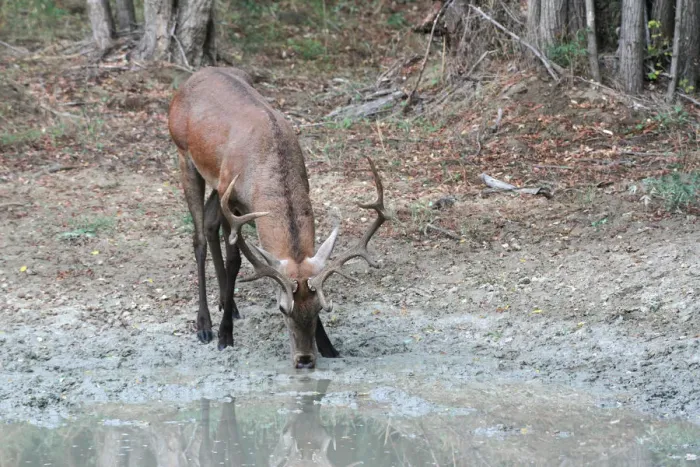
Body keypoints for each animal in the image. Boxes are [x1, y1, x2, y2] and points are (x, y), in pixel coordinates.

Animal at [168, 67, 387, 369]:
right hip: (184, 155)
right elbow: (235, 260)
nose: (304, 359)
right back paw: (205, 324)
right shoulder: (230, 197)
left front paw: (328, 346)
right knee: (199, 236)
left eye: (320, 308)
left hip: (213, 179)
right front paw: (225, 336)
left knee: (210, 224)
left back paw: (229, 305)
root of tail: (189, 80)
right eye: (282, 309)